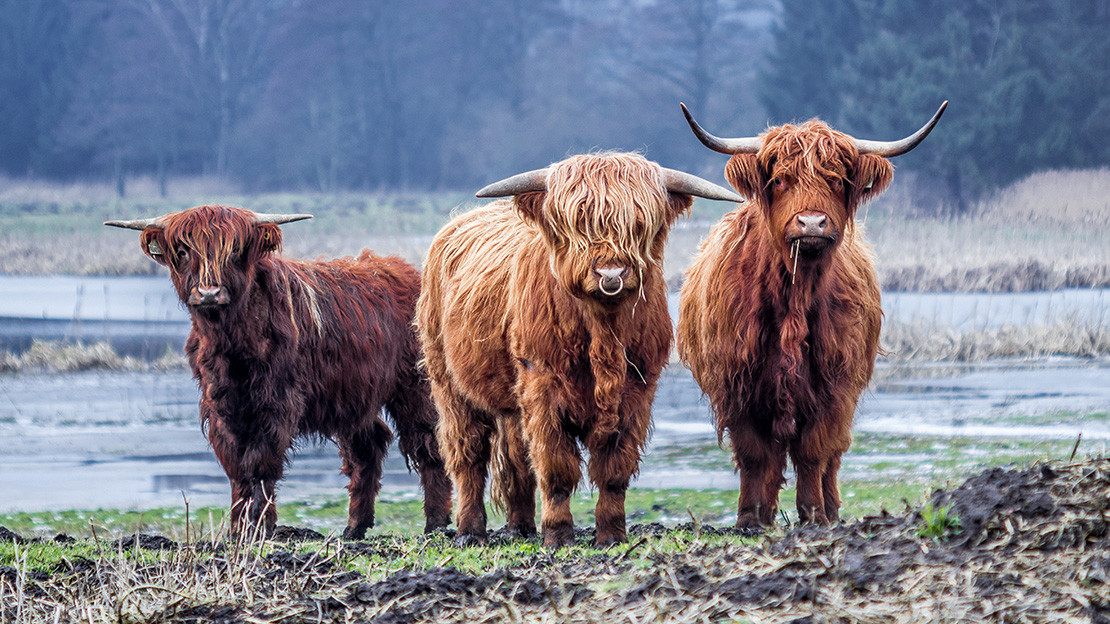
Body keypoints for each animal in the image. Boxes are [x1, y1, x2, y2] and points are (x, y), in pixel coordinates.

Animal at [105, 205, 452, 539]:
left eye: (235, 250)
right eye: (182, 250)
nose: (209, 293)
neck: (232, 345)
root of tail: (405, 269)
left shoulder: (277, 403)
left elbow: (260, 463)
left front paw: (261, 526)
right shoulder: (220, 406)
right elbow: (236, 467)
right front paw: (237, 529)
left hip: (414, 385)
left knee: (428, 442)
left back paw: (435, 523)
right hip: (352, 396)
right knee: (368, 447)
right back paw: (355, 526)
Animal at [416, 152, 742, 547]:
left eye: (639, 222)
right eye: (578, 222)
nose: (611, 273)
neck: (604, 331)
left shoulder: (637, 392)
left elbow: (614, 471)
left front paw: (612, 534)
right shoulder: (542, 387)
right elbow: (556, 468)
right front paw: (558, 536)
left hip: (511, 401)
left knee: (516, 458)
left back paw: (521, 527)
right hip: (448, 384)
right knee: (469, 455)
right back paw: (470, 530)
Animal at [676, 102, 947, 528]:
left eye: (836, 180)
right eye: (780, 180)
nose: (812, 223)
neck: (794, 294)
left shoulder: (834, 386)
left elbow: (813, 452)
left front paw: (815, 515)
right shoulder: (737, 384)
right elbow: (754, 454)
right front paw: (750, 518)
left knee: (831, 456)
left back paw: (831, 509)